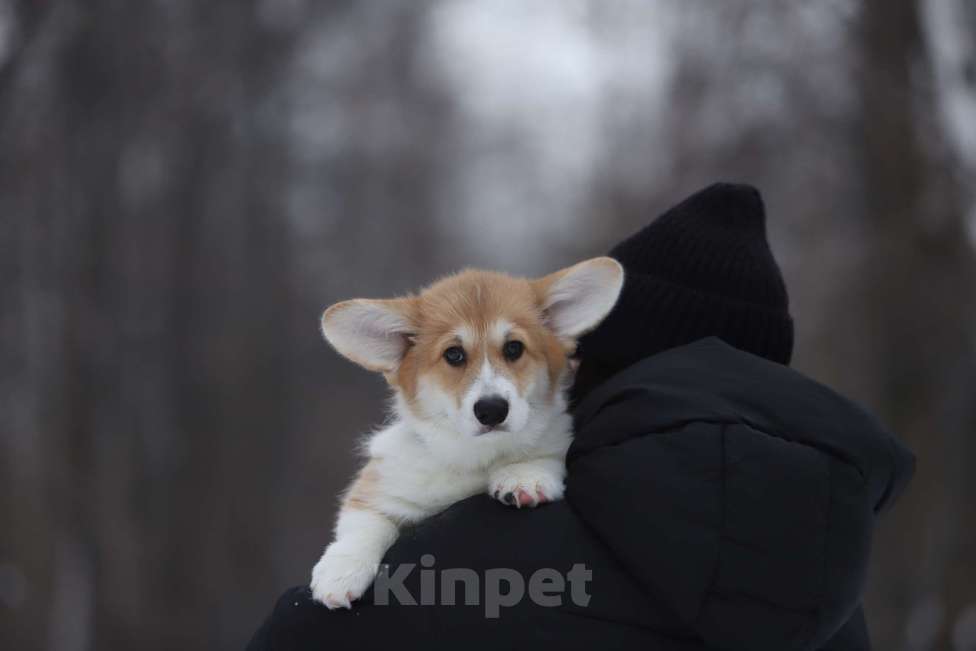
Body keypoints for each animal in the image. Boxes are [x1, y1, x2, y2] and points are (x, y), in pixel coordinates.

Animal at [308, 258, 620, 608]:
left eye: (514, 348)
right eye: (453, 354)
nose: (492, 410)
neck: (476, 454)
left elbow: (541, 453)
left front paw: (525, 477)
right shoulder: (383, 487)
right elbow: (364, 522)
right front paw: (340, 572)